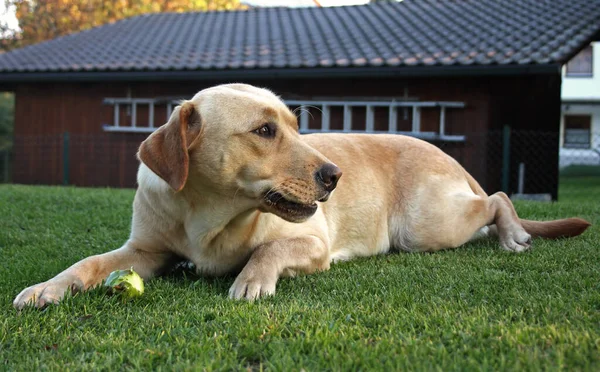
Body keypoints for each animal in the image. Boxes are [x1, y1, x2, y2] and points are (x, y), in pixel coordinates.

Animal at [12, 83, 592, 308]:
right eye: (265, 131)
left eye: (295, 125)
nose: (335, 175)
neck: (208, 217)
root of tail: (451, 158)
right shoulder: (144, 250)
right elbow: (88, 263)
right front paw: (47, 287)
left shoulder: (312, 242)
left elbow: (272, 247)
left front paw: (252, 279)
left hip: (426, 226)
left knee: (497, 197)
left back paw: (513, 233)